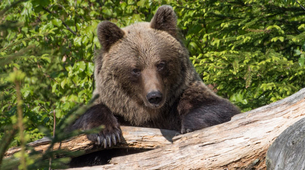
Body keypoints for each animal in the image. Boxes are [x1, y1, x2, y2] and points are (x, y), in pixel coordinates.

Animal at [69, 5, 240, 148]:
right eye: (135, 69)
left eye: (160, 64)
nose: (154, 96)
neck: (146, 115)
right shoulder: (117, 107)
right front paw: (107, 133)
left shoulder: (180, 96)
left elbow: (220, 108)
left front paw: (188, 127)